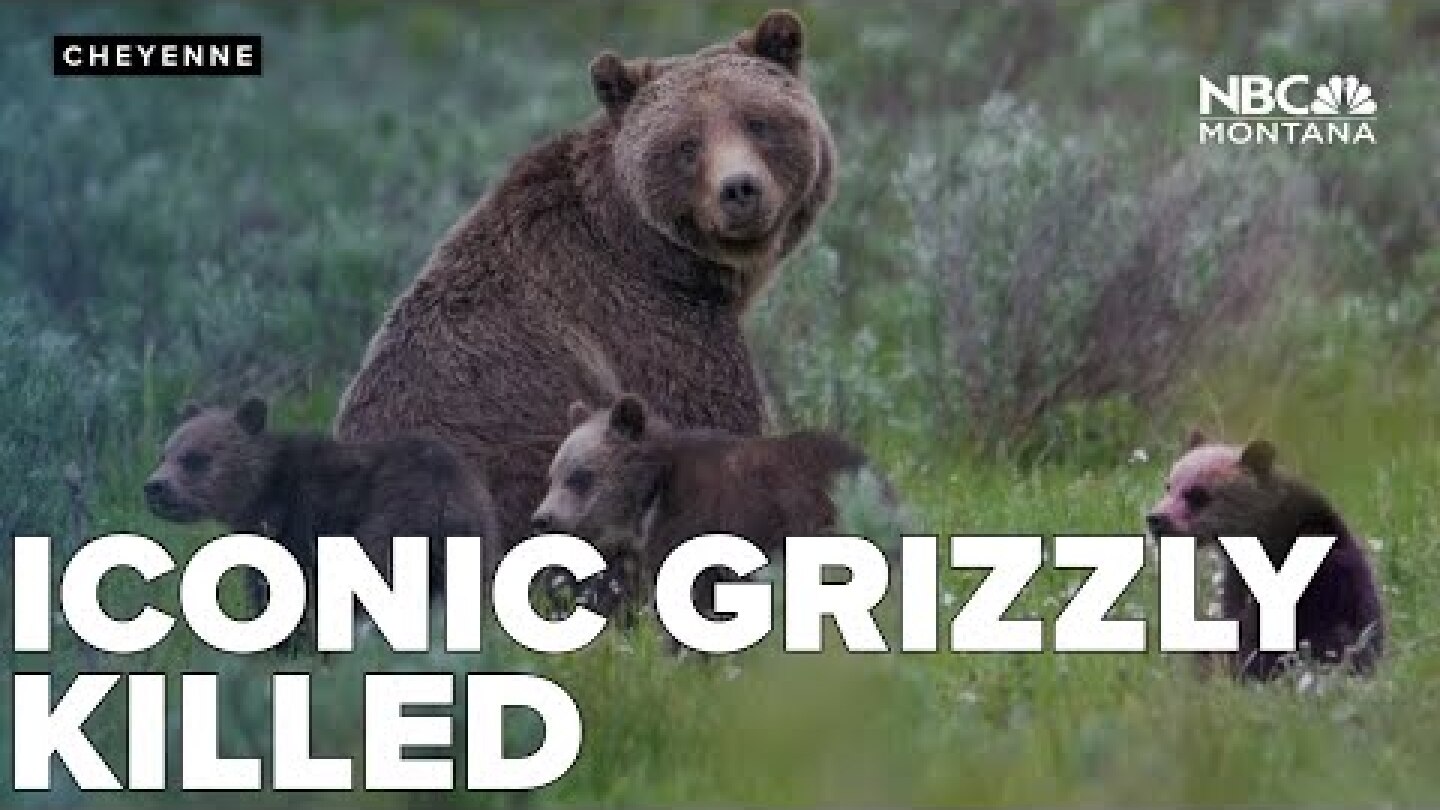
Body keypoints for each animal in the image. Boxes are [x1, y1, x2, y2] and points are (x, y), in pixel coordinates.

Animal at [144, 397, 500, 643]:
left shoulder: (297, 520)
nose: (155, 487)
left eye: (195, 459)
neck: (259, 492)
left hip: (388, 524)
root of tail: (443, 500)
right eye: (165, 454)